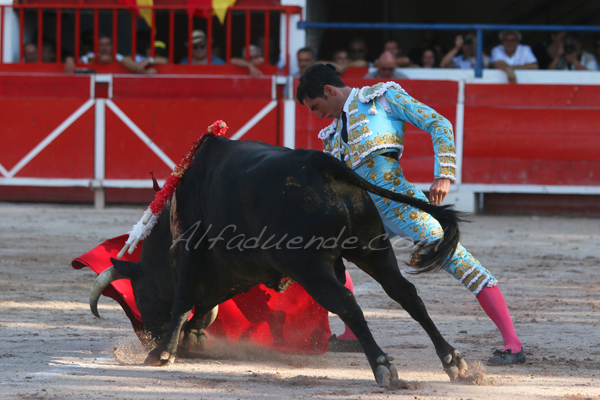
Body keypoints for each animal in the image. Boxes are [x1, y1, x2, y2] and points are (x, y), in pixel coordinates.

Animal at [91, 136, 472, 386]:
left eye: (141, 295)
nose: (148, 339)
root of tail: (325, 164)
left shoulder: (188, 252)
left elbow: (183, 302)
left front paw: (162, 353)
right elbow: (207, 302)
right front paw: (193, 337)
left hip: (310, 266)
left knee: (346, 302)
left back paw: (382, 366)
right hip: (372, 249)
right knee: (405, 293)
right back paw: (453, 361)